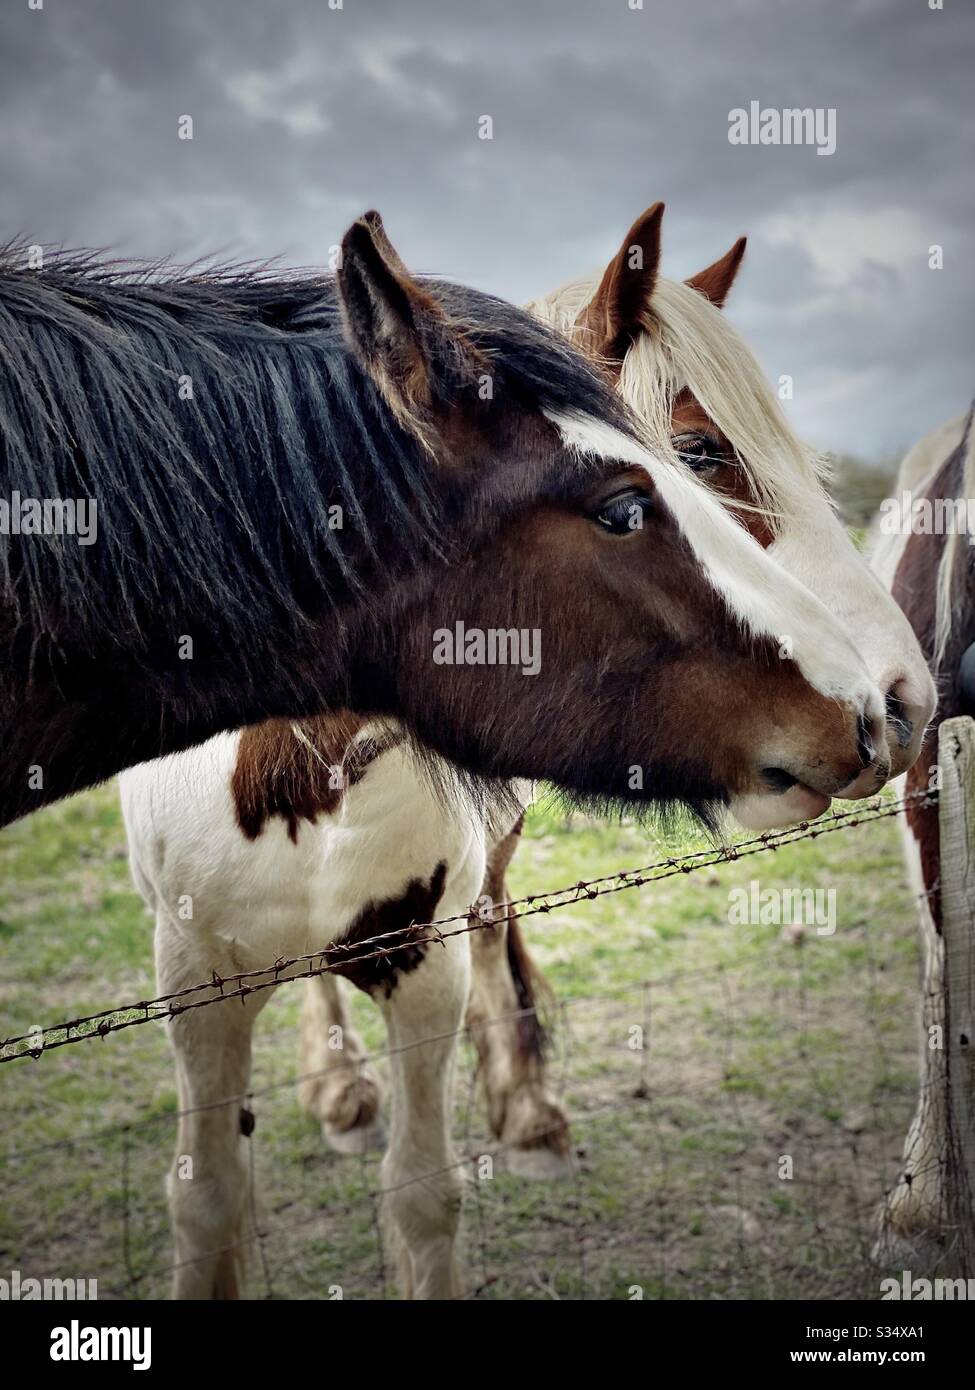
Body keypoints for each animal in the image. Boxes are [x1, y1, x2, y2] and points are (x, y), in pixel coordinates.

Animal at [117, 205, 929, 1299]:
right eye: (696, 454)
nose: (899, 700)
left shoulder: (422, 965)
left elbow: (422, 1193)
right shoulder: (193, 980)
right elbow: (206, 1198)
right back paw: (338, 1086)